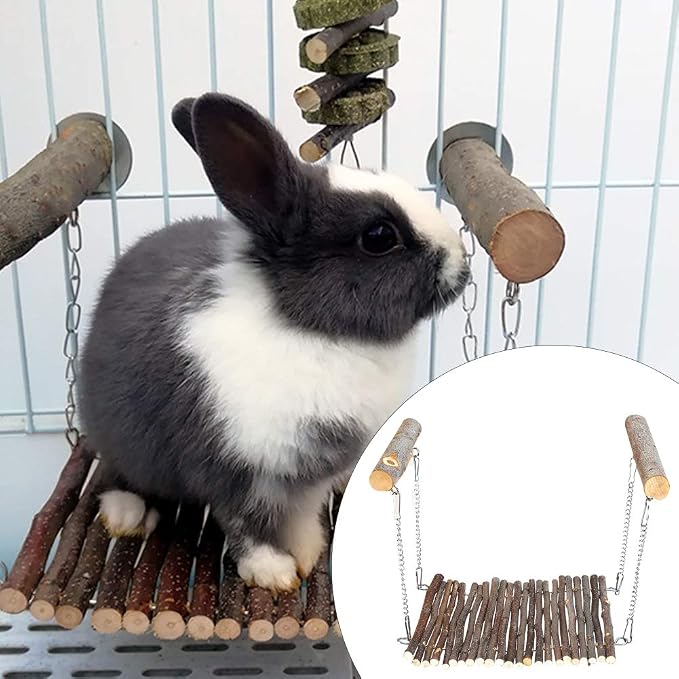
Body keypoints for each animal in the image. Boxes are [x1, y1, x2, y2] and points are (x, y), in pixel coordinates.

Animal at [79, 93, 469, 592]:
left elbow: (303, 514)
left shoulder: (310, 472)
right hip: (113, 430)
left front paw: (306, 553)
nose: (463, 262)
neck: (317, 334)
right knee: (116, 470)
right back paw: (127, 512)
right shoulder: (232, 467)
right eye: (379, 237)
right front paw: (274, 573)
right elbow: (245, 525)